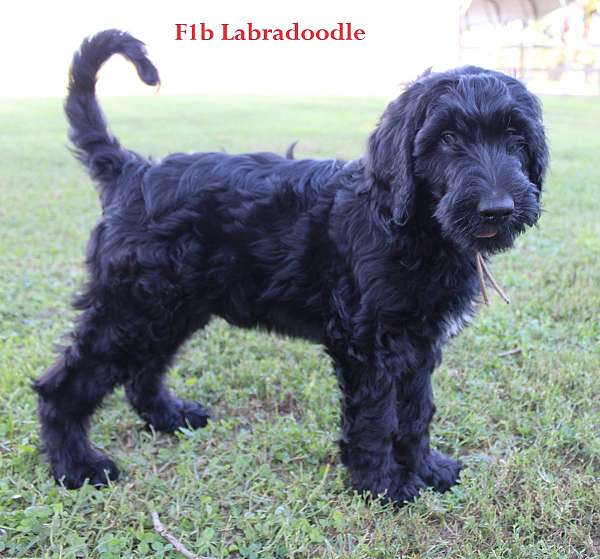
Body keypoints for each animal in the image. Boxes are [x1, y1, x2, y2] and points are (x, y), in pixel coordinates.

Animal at [34, 30, 548, 504]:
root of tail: (131, 170)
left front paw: (426, 468)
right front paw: (382, 484)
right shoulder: (370, 347)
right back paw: (76, 465)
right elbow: (377, 419)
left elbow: (416, 411)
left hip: (170, 308)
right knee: (63, 385)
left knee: (143, 372)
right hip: (131, 310)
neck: (407, 224)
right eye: (446, 138)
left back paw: (169, 418)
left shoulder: (418, 344)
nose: (497, 209)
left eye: (515, 138)